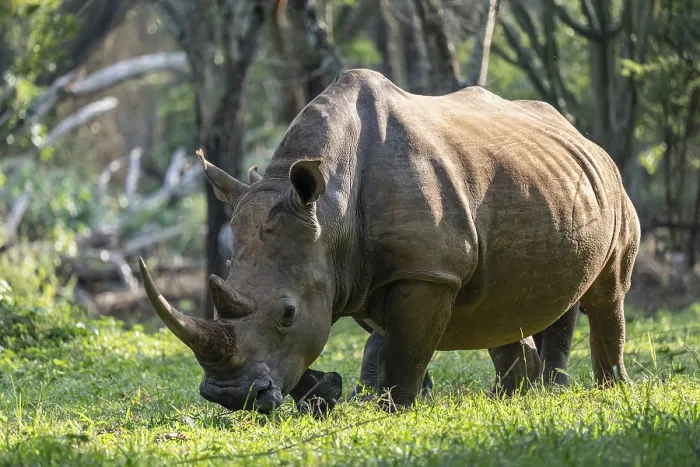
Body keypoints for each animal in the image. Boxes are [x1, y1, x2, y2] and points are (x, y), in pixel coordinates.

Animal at [139, 68, 639, 414]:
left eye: (287, 314)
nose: (230, 396)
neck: (330, 211)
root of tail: (581, 135)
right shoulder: (354, 272)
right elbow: (370, 343)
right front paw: (330, 393)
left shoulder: (427, 271)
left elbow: (402, 350)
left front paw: (392, 408)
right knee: (506, 304)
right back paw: (515, 395)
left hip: (614, 186)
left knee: (607, 293)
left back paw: (600, 389)